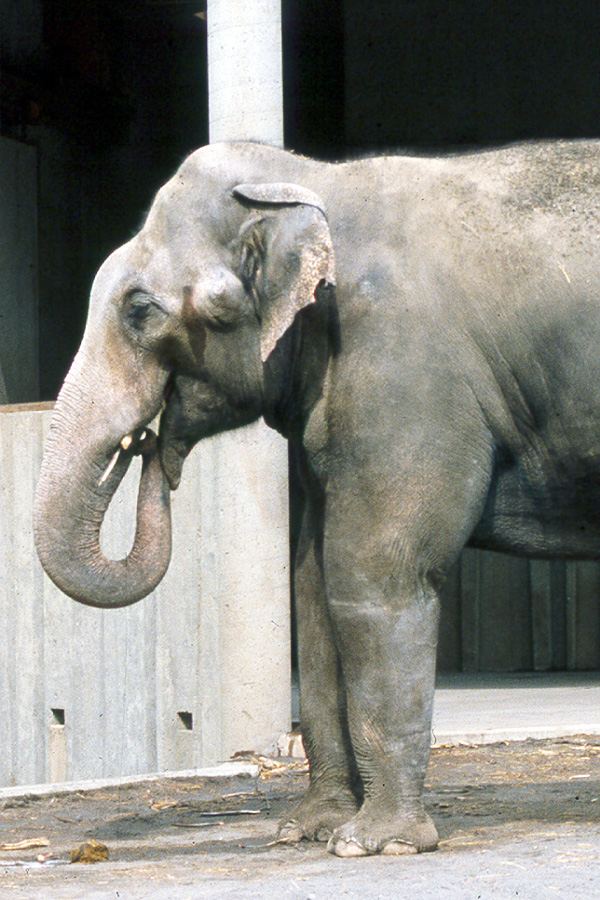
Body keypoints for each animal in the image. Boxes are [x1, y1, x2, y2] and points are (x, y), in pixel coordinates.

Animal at [34, 139, 600, 856]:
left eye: (140, 310)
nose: (146, 444)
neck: (311, 178)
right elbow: (311, 585)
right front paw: (307, 830)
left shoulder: (402, 369)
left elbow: (374, 571)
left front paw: (375, 844)